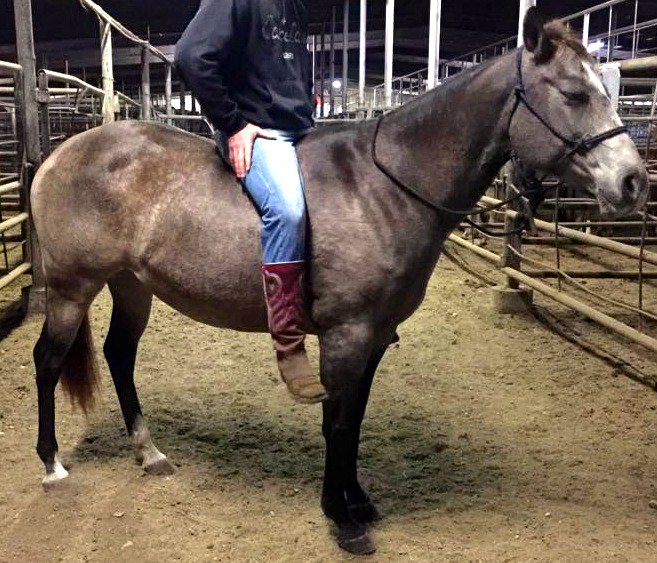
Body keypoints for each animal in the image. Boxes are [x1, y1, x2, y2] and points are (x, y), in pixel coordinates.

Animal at [29, 11, 648, 555]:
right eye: (573, 93)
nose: (634, 182)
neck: (383, 187)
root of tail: (59, 156)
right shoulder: (346, 334)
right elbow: (338, 421)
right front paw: (341, 518)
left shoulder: (373, 338)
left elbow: (354, 422)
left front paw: (358, 500)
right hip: (71, 288)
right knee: (48, 360)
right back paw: (52, 463)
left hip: (131, 285)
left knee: (119, 355)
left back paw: (149, 453)